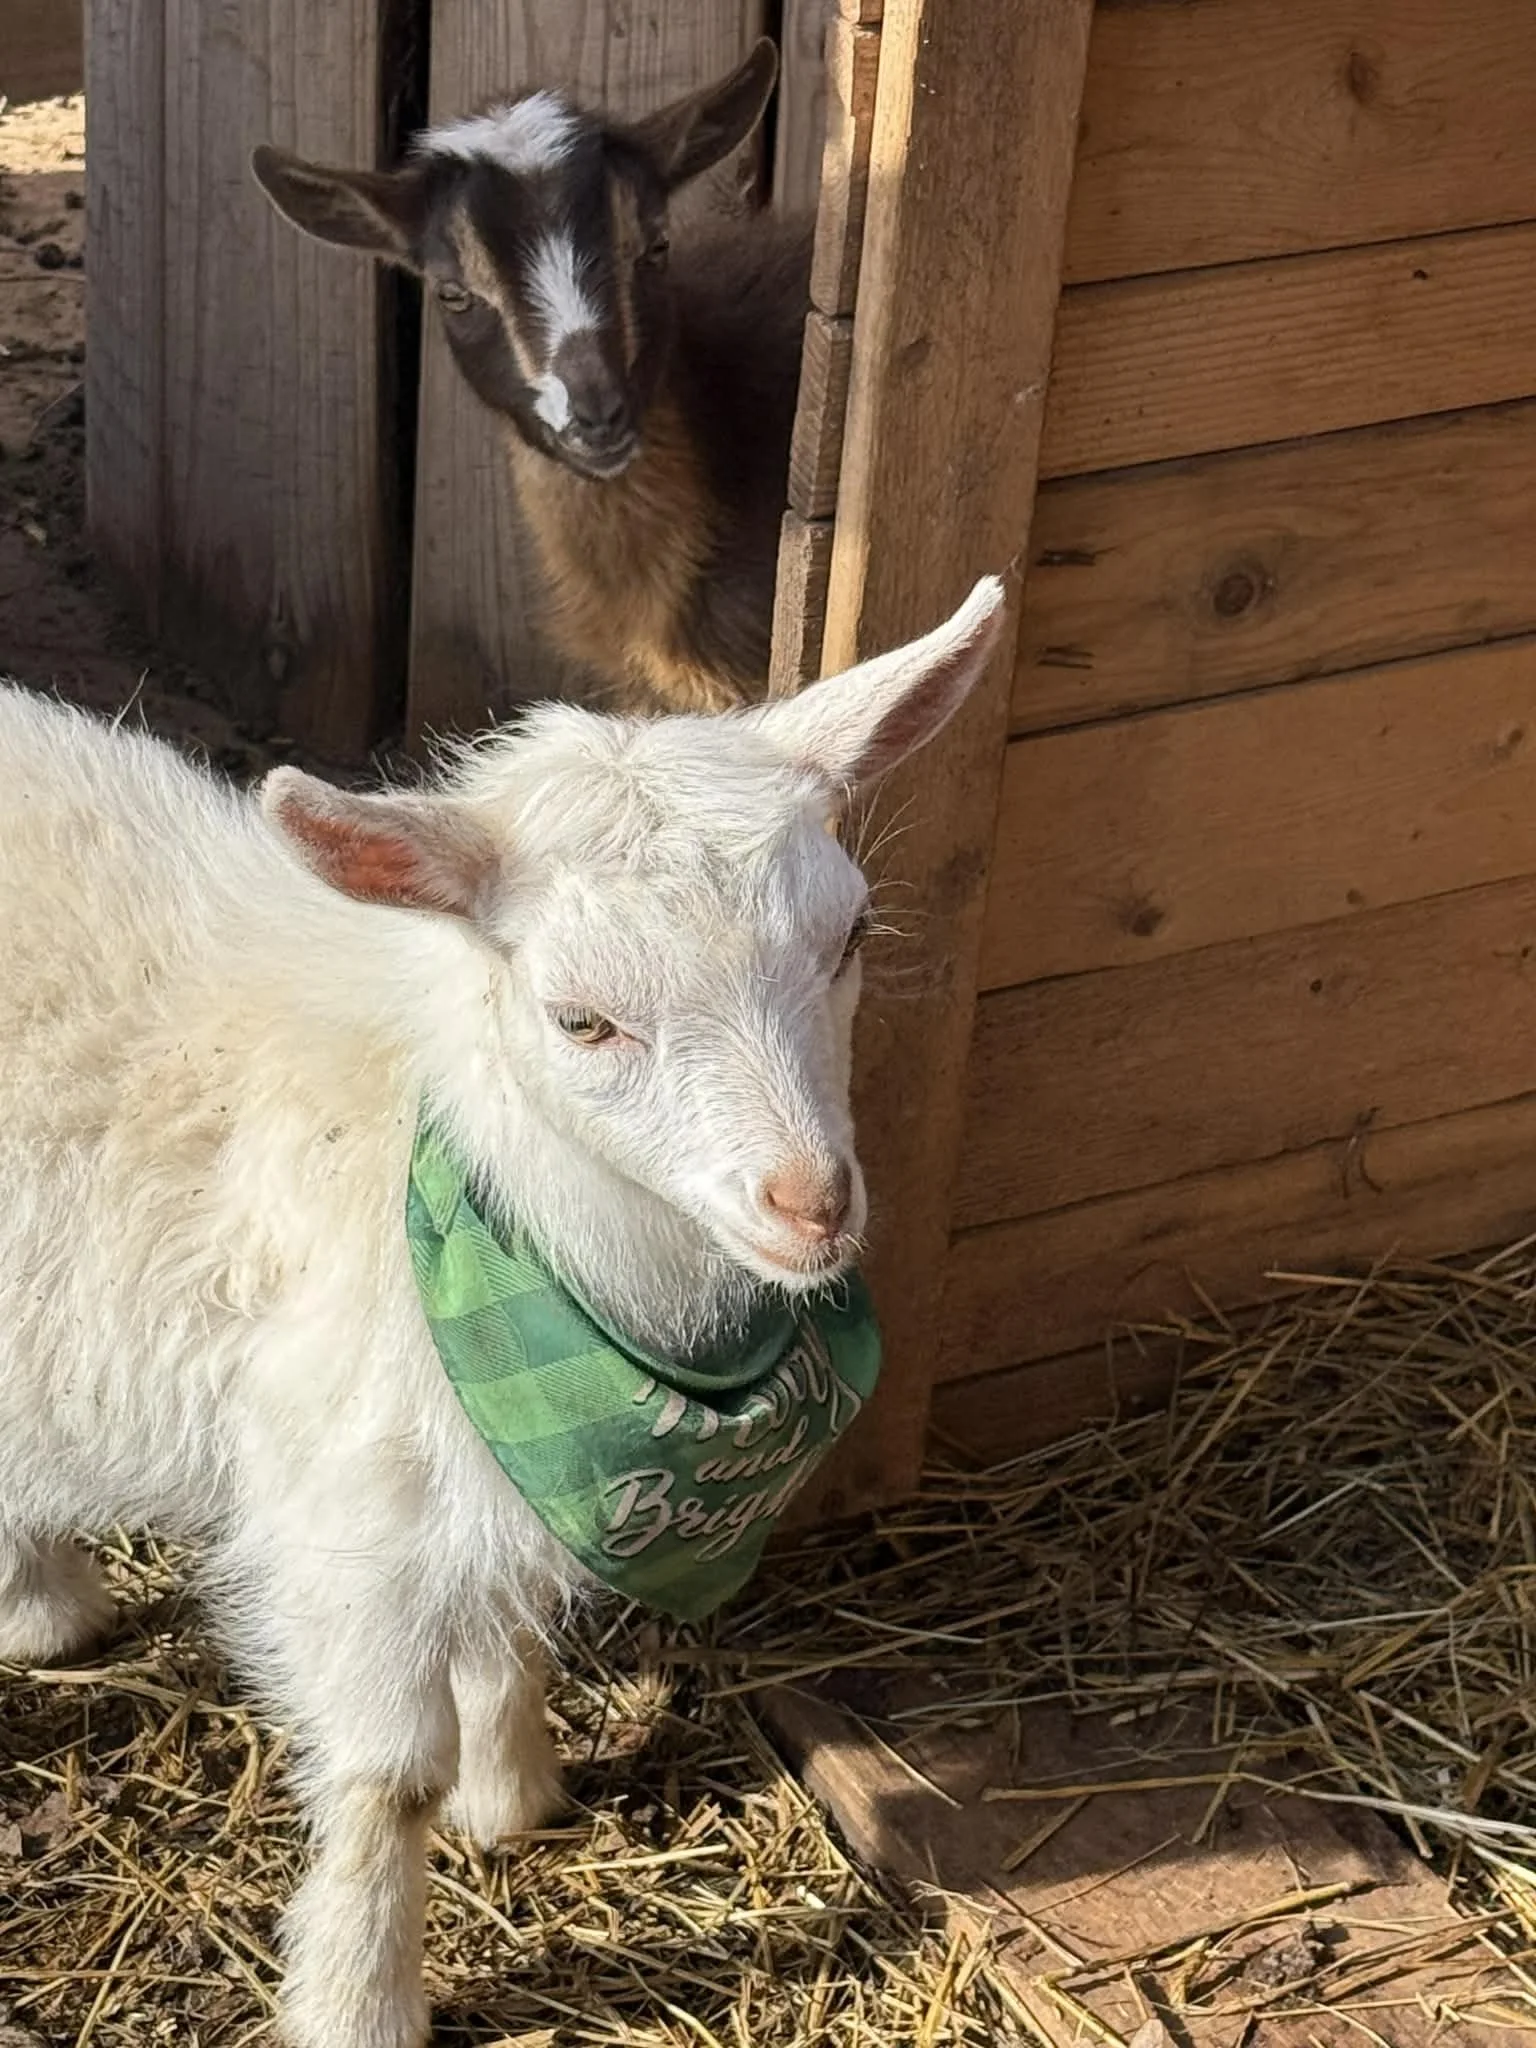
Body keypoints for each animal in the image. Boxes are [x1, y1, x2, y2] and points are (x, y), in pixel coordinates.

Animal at [0, 578, 1006, 2048]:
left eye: (852, 939)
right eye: (581, 1021)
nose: (812, 1201)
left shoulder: (504, 1466)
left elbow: (514, 1624)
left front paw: (514, 1792)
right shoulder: (349, 1506)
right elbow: (384, 1781)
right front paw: (361, 1999)